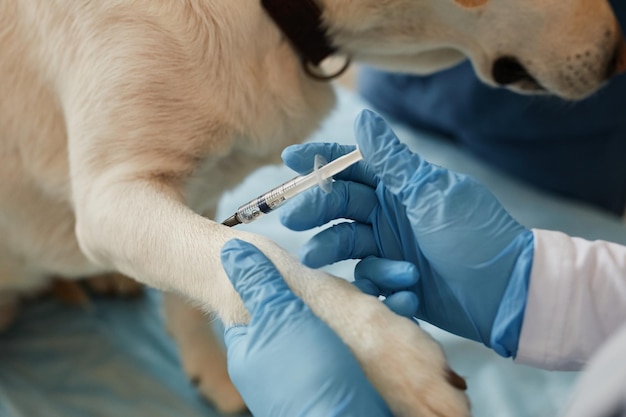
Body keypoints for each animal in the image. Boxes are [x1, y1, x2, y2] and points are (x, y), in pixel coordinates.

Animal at [0, 1, 620, 414]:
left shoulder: (194, 190)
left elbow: (196, 280)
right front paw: (392, 360)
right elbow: (246, 242)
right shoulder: (113, 197)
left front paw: (212, 371)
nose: (619, 56)